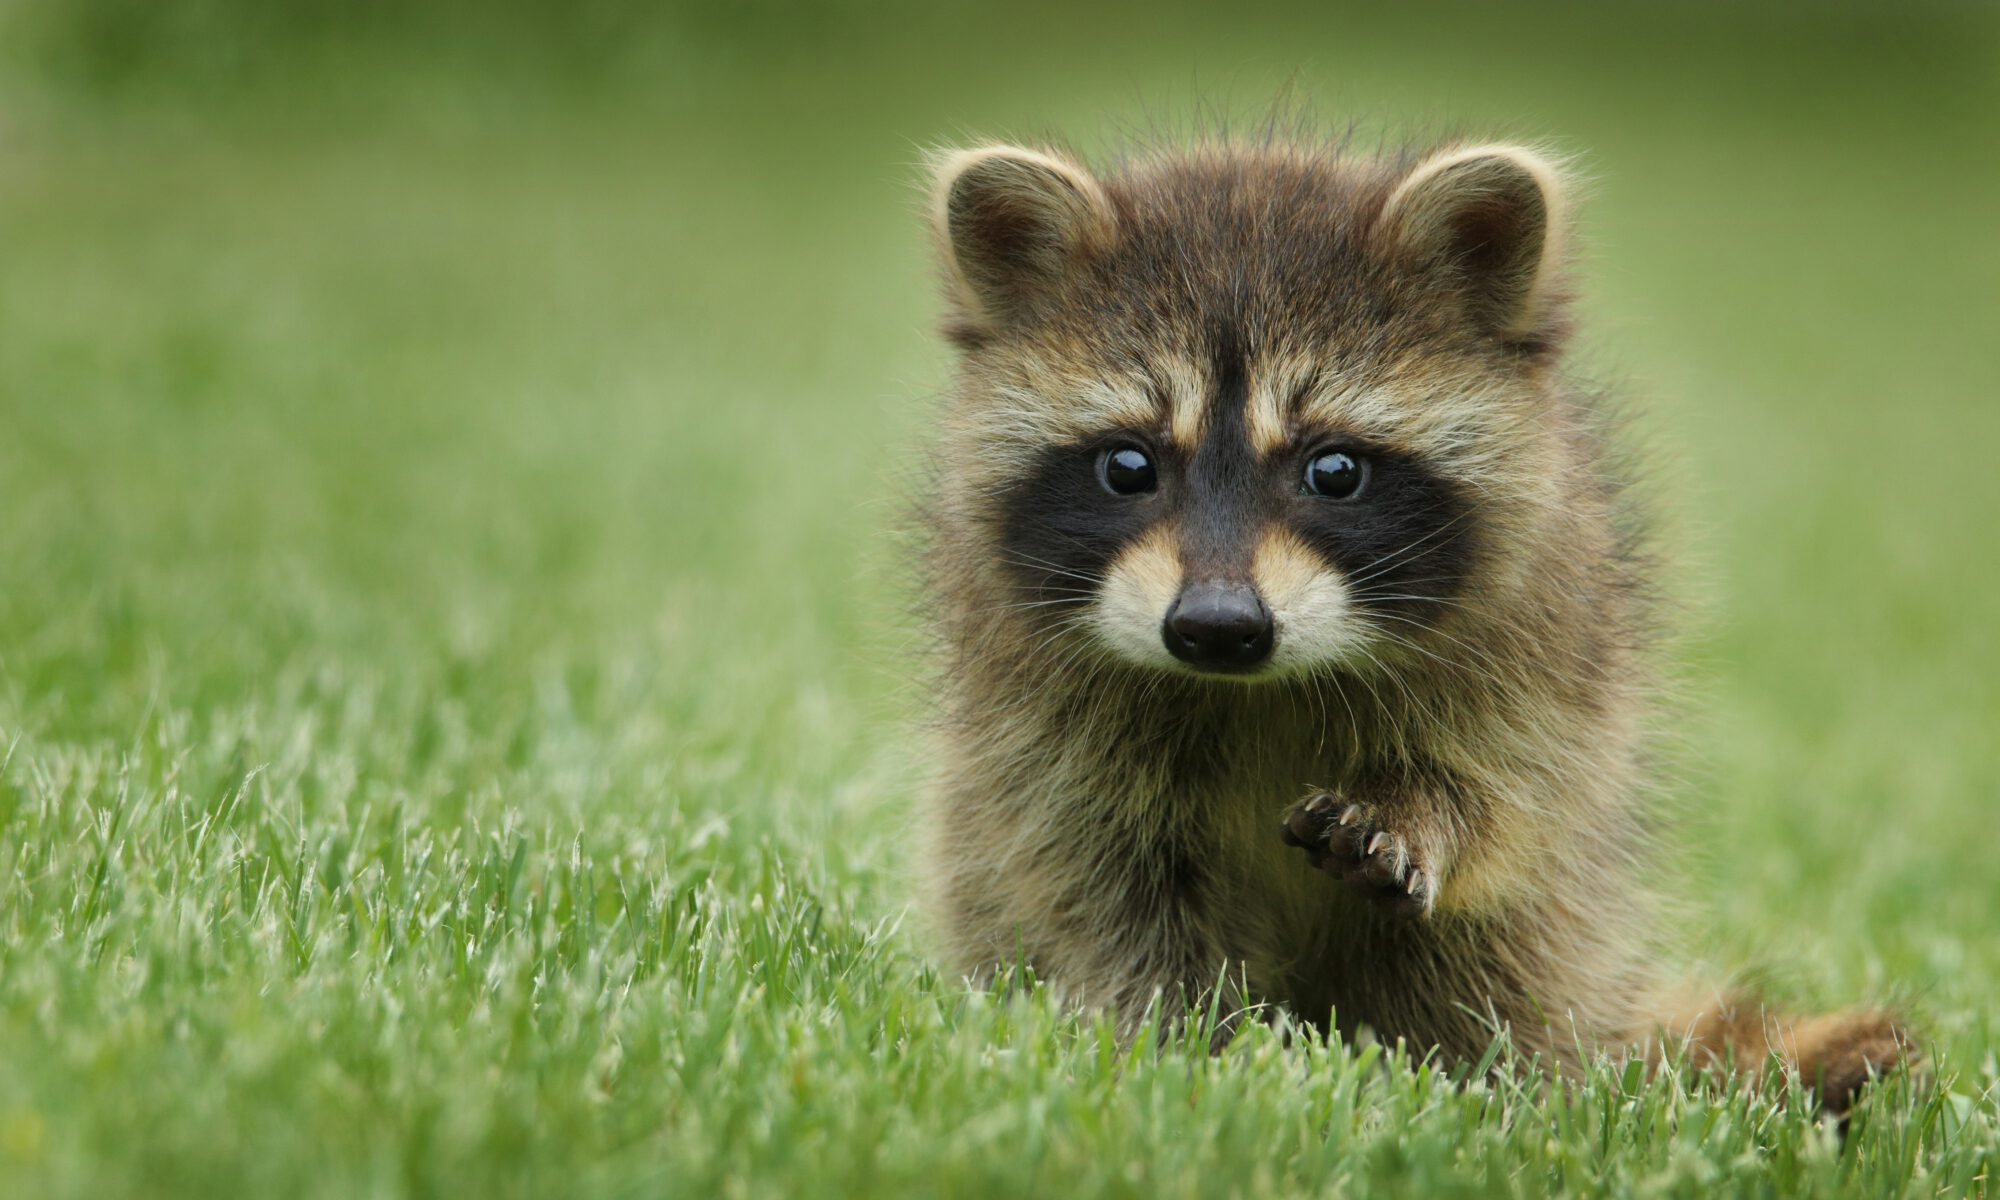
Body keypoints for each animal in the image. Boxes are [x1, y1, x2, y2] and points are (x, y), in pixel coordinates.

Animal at [916, 136, 1912, 1112]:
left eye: (1334, 471)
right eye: (1128, 466)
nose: (1218, 626)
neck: (1257, 688)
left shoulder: (1546, 640)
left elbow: (1508, 794)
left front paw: (1423, 813)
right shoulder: (1039, 721)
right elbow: (1094, 882)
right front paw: (1184, 1045)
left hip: (1565, 932)